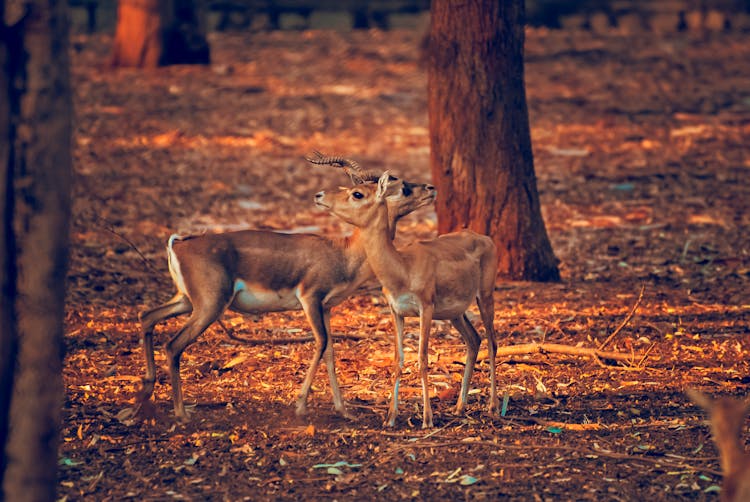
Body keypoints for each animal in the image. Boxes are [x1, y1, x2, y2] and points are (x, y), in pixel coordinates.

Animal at [138, 155, 438, 422]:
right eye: (357, 193)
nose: (430, 188)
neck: (343, 253)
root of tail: (178, 244)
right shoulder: (310, 298)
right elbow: (321, 343)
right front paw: (300, 406)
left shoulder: (326, 307)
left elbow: (331, 351)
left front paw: (343, 410)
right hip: (209, 306)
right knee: (173, 345)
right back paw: (181, 413)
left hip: (187, 301)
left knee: (147, 316)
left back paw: (144, 396)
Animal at [316, 173, 500, 428]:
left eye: (357, 193)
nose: (319, 195)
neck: (402, 267)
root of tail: (485, 238)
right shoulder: (397, 311)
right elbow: (398, 360)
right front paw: (390, 418)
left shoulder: (426, 308)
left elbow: (422, 359)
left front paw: (427, 419)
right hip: (455, 314)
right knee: (474, 340)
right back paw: (459, 407)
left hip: (485, 296)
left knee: (492, 343)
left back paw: (493, 406)